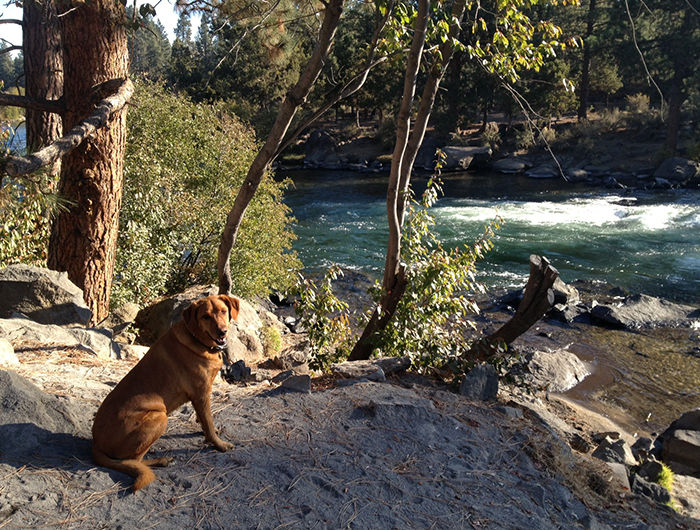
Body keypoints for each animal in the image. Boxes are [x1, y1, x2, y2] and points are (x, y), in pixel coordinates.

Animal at [91, 290, 239, 488]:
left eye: (223, 311)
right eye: (206, 316)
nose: (222, 331)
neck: (197, 340)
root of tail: (96, 444)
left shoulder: (199, 397)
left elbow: (204, 420)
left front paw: (209, 433)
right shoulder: (201, 393)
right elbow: (208, 420)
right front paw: (219, 444)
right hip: (159, 417)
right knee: (133, 461)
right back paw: (162, 461)